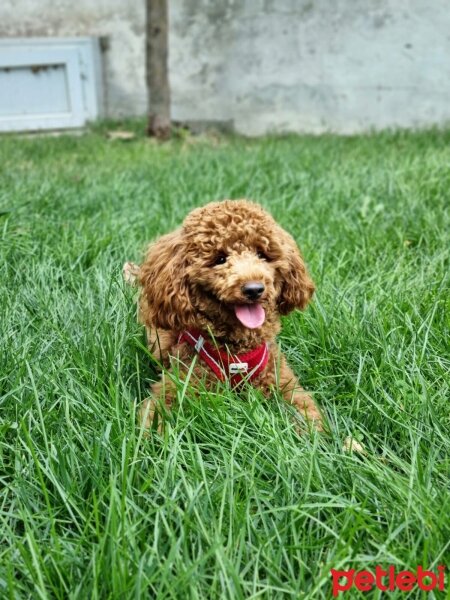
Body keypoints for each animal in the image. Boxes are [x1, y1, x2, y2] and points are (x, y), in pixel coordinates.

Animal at [125, 200, 324, 432]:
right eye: (220, 258)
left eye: (262, 254)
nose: (254, 289)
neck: (237, 351)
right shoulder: (181, 381)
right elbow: (157, 414)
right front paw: (148, 438)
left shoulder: (282, 382)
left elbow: (306, 412)